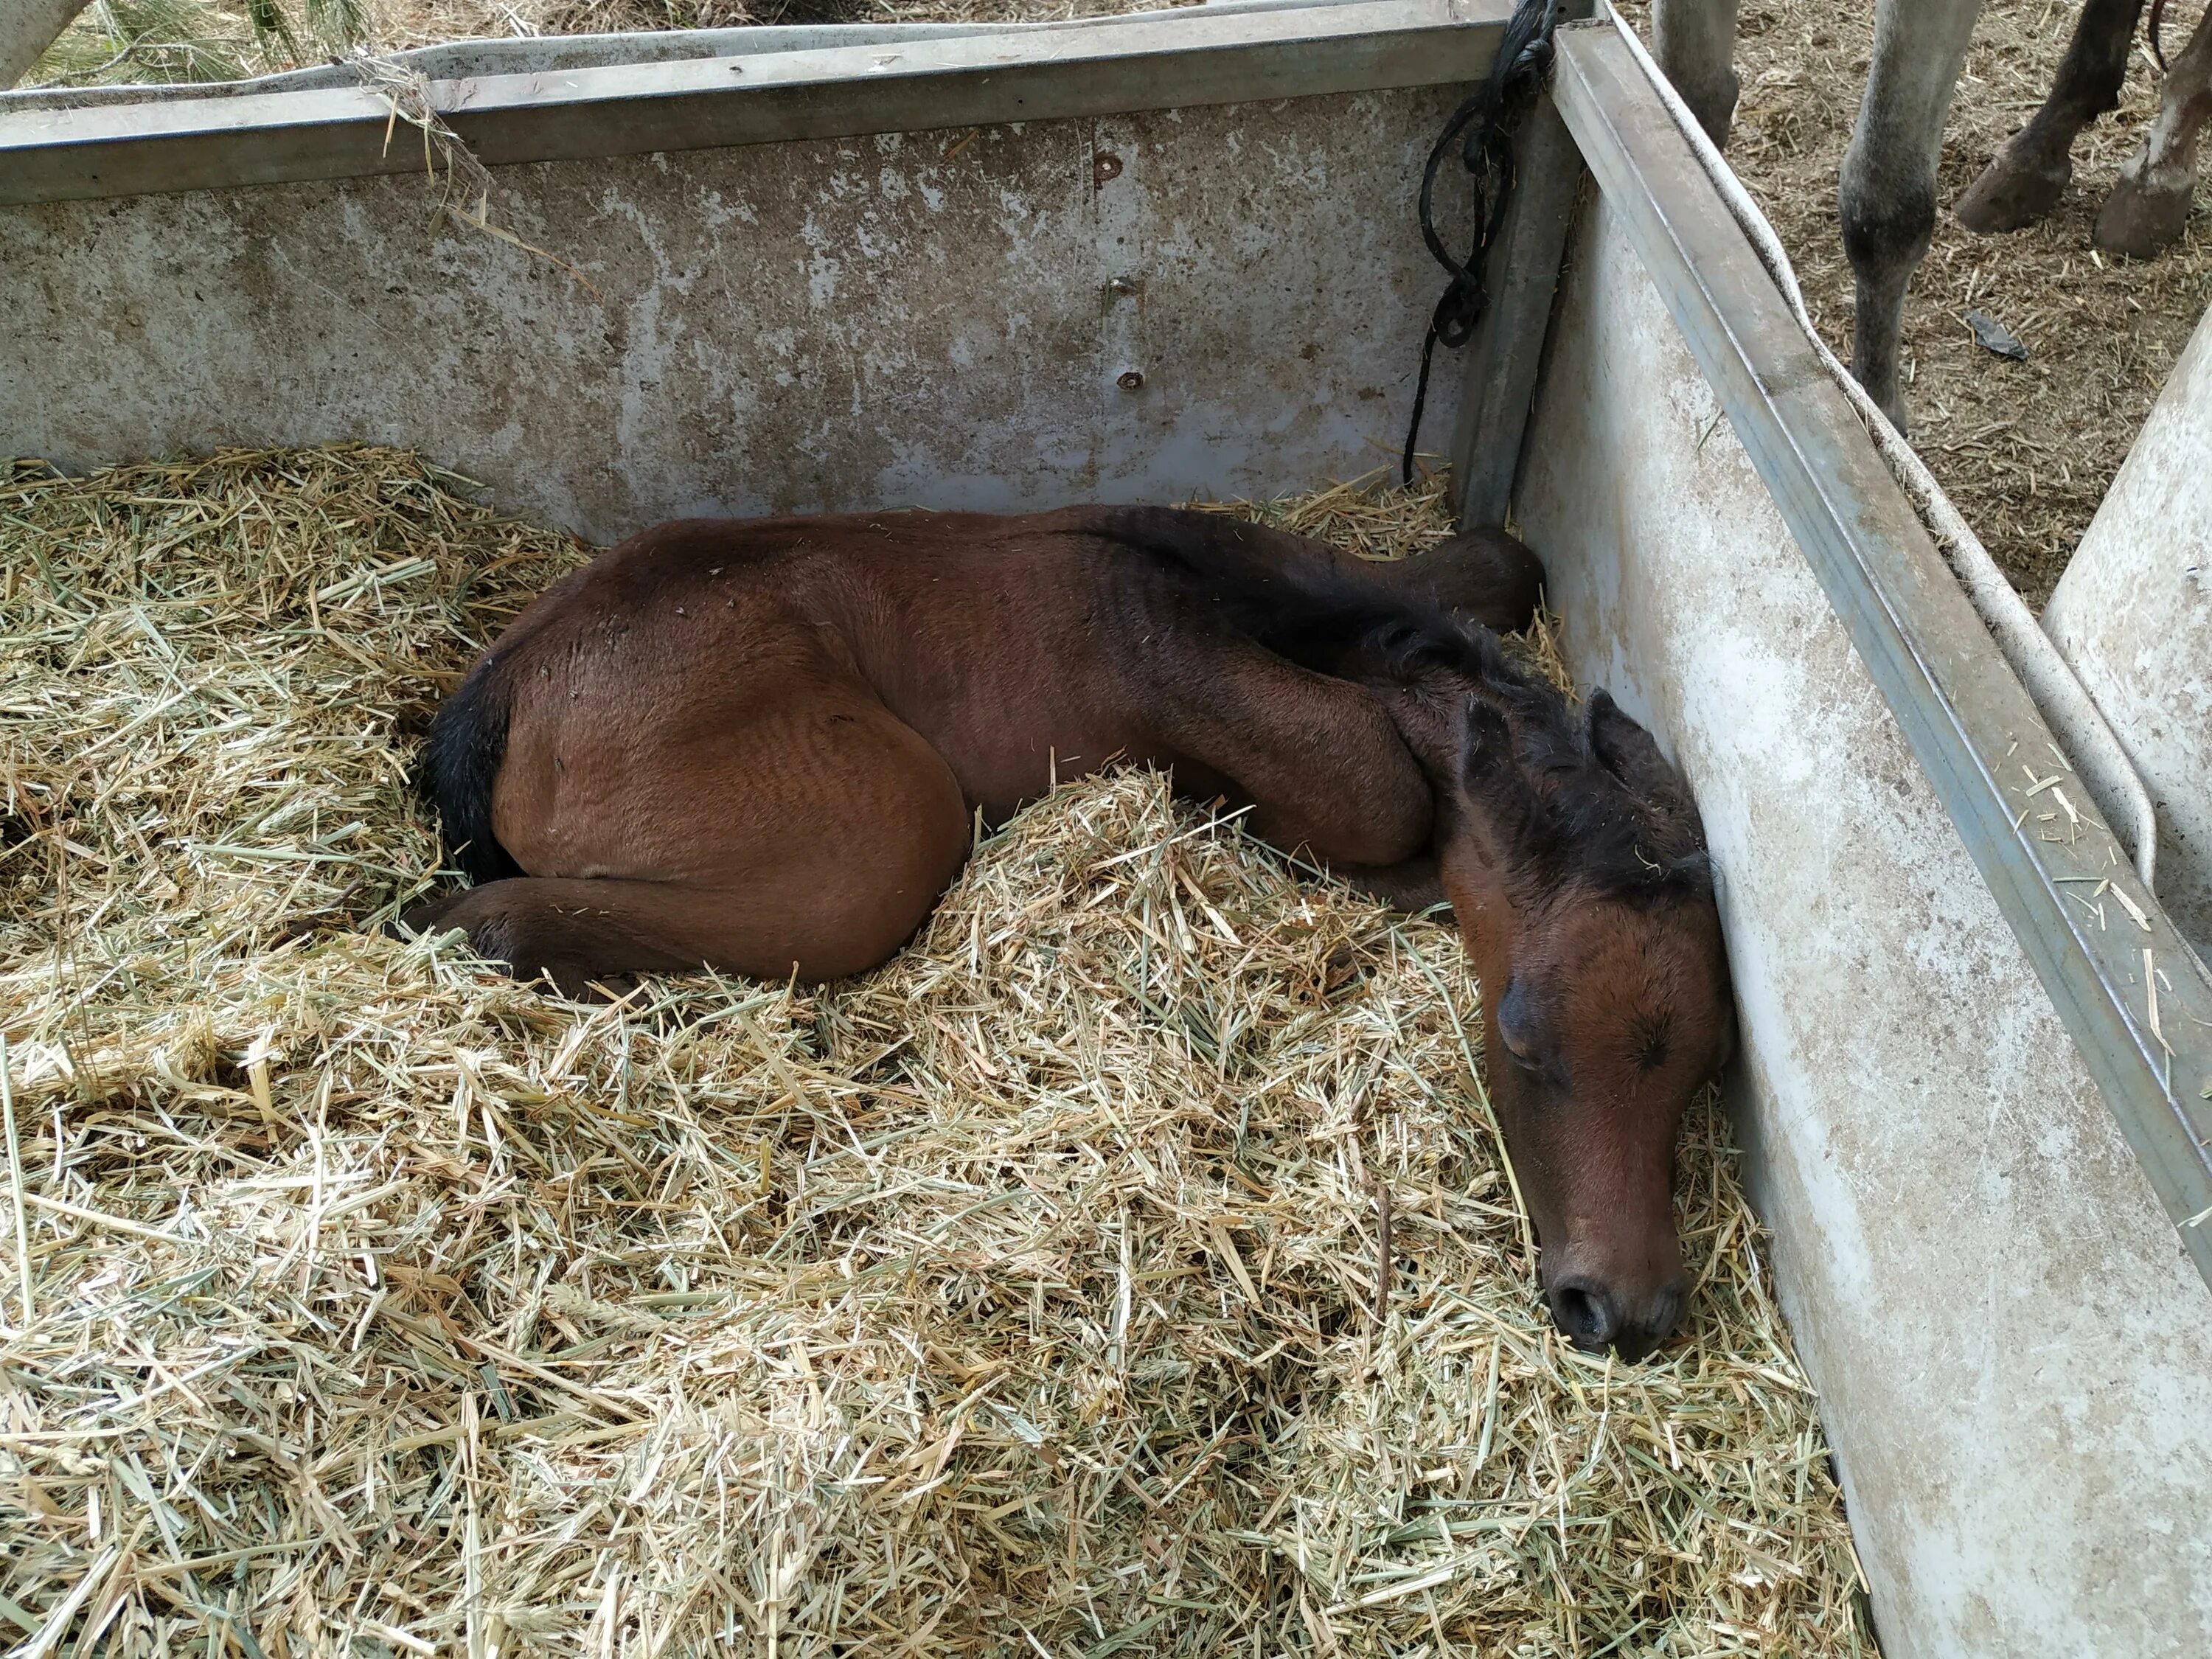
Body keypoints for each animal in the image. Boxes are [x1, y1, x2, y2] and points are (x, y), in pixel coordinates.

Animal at [411, 511, 1725, 1363]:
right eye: (1524, 1038)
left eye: (1703, 1069)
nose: (1626, 1307)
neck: (1242, 612)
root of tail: (504, 687)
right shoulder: (1194, 671)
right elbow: (1379, 777)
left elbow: (1492, 562)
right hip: (888, 811)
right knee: (499, 915)